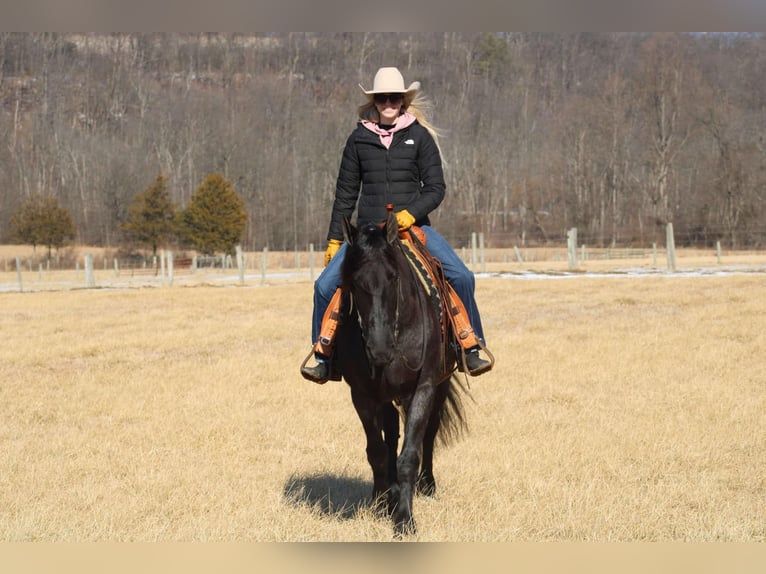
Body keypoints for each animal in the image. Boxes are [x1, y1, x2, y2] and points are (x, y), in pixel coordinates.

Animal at [340, 213, 472, 540]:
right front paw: (380, 503)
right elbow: (376, 450)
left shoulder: (422, 388)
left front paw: (404, 520)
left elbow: (410, 454)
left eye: (393, 278)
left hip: (440, 386)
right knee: (390, 435)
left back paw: (427, 485)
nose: (380, 349)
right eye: (355, 282)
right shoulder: (361, 394)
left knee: (430, 433)